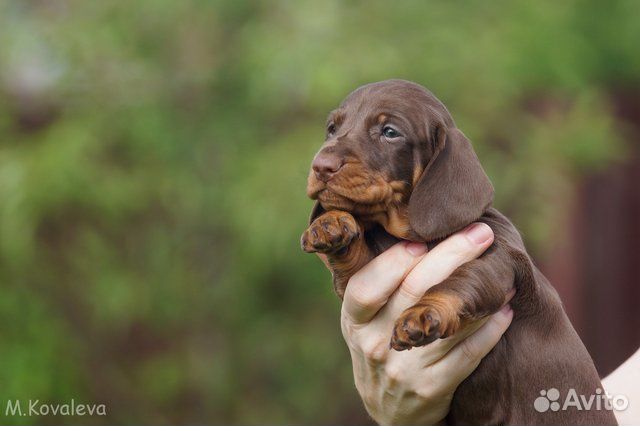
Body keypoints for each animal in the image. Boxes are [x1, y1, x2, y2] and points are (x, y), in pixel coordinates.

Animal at [302, 80, 616, 426]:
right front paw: (331, 223)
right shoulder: (367, 275)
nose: (321, 166)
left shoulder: (498, 257)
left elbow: (462, 279)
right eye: (332, 129)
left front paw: (423, 313)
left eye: (389, 132)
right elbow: (354, 255)